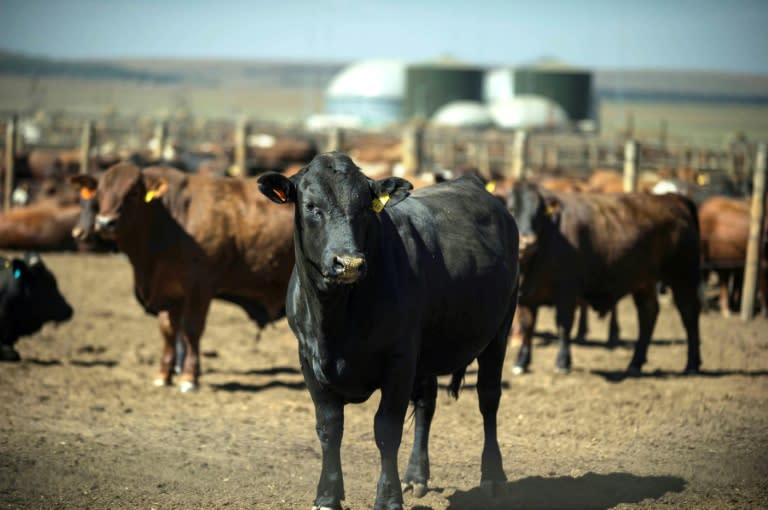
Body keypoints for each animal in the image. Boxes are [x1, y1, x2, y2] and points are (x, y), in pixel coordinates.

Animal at [72, 163, 296, 390]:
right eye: (100, 193)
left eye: (133, 192)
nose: (104, 223)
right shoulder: (170, 290)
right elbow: (168, 330)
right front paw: (164, 374)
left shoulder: (200, 287)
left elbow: (191, 329)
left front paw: (189, 376)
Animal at [260, 151, 520, 510]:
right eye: (312, 206)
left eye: (365, 207)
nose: (349, 263)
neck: (335, 319)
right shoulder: (308, 358)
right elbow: (329, 427)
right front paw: (327, 494)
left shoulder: (399, 358)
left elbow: (386, 429)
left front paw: (388, 498)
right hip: (428, 349)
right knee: (427, 402)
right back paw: (416, 476)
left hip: (499, 330)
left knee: (488, 398)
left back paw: (493, 477)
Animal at [504, 182, 704, 374]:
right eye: (512, 209)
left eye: (538, 212)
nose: (527, 242)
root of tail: (674, 198)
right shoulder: (527, 297)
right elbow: (527, 327)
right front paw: (521, 362)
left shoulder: (567, 292)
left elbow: (563, 326)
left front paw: (562, 362)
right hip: (644, 281)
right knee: (648, 313)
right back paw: (635, 363)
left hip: (683, 276)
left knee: (689, 312)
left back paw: (692, 364)